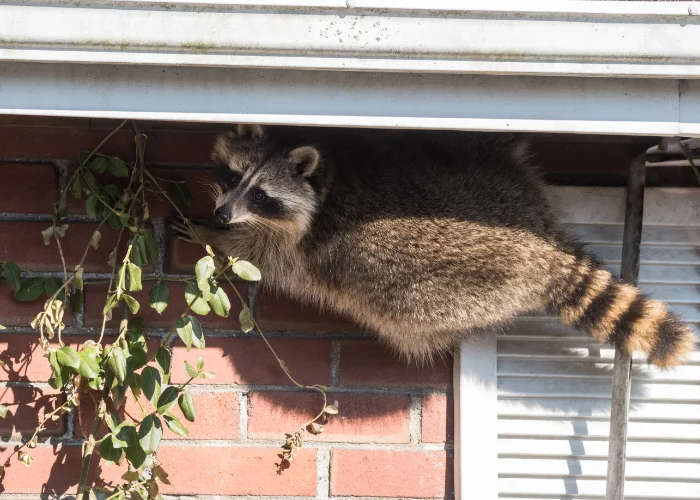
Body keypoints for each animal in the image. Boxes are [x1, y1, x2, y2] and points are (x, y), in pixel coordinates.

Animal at [172, 124, 695, 368]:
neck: (326, 175)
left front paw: (210, 235)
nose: (222, 214)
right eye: (233, 177)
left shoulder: (296, 247)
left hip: (441, 291)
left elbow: (259, 257)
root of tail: (543, 250)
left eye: (262, 195)